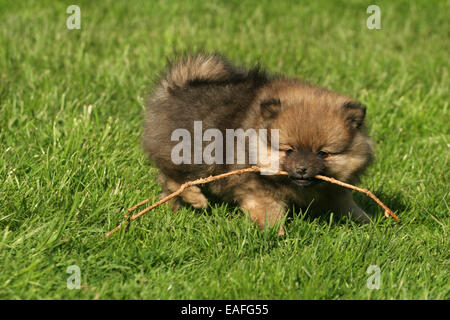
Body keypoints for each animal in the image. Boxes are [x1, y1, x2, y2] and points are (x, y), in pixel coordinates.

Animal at [144, 53, 372, 235]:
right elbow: (269, 211)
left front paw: (367, 221)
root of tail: (177, 87)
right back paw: (196, 199)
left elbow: (347, 204)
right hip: (195, 156)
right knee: (174, 178)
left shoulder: (334, 189)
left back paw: (174, 208)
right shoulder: (258, 188)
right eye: (289, 150)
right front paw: (277, 234)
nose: (302, 169)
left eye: (323, 153)